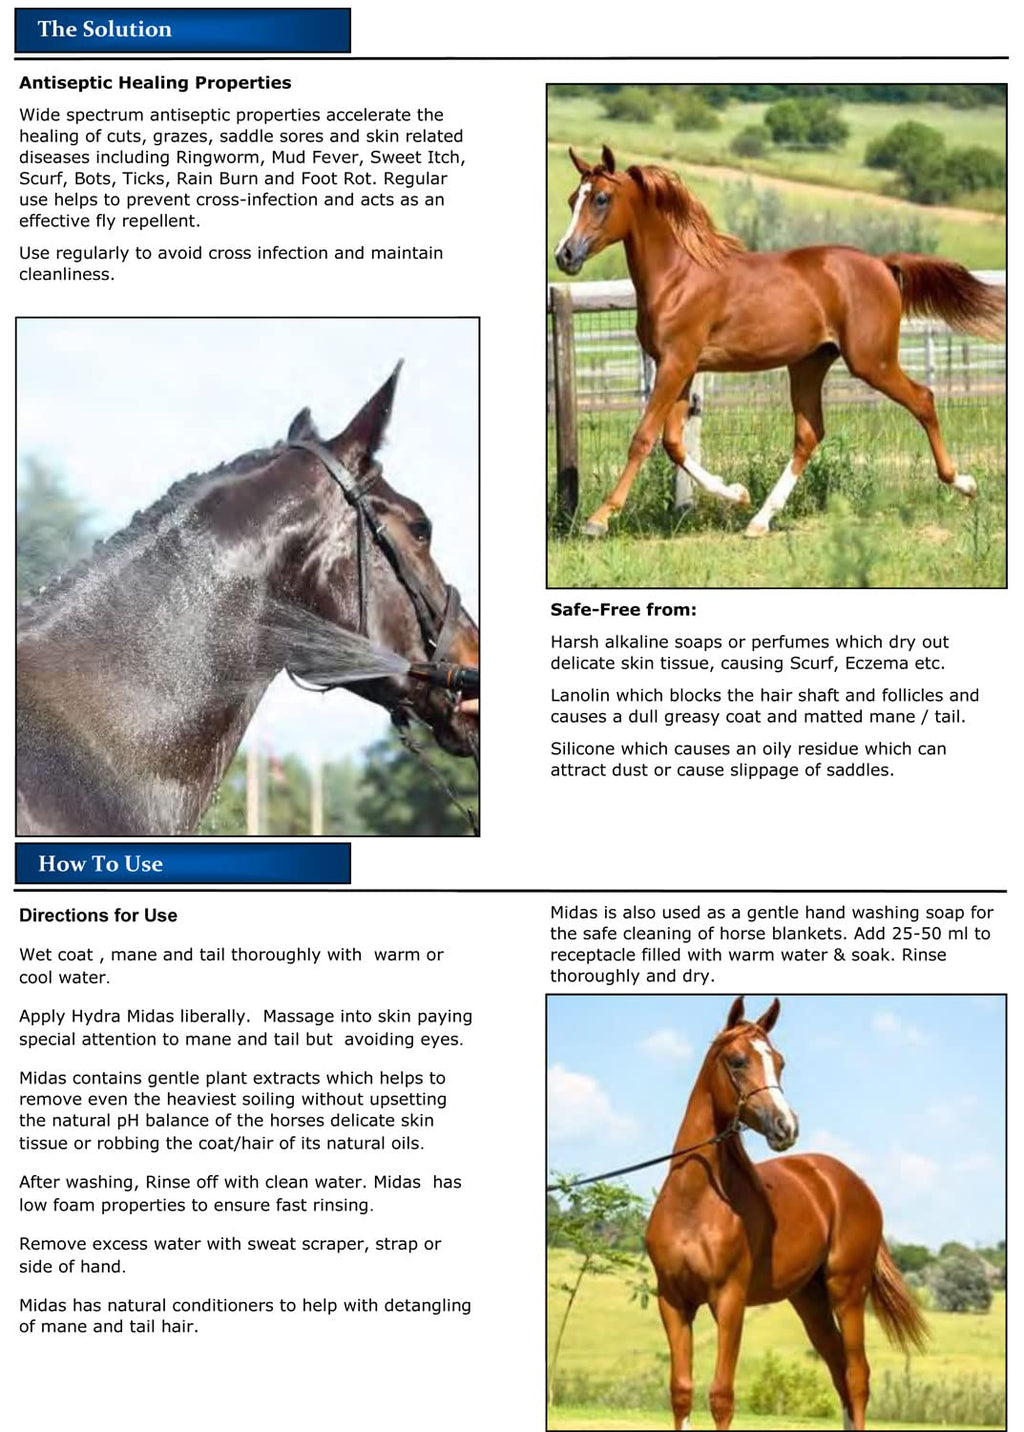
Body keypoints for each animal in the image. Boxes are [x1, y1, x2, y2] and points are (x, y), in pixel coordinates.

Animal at [555, 146, 1005, 539]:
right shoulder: (682, 367)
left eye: (601, 199)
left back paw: (964, 483)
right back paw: (758, 520)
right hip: (810, 362)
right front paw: (736, 493)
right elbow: (674, 444)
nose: (565, 255)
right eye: (572, 199)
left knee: (923, 399)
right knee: (809, 435)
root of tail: (882, 265)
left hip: (871, 361)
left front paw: (598, 519)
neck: (679, 278)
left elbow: (644, 438)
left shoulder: (676, 363)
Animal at [645, 997, 926, 1431]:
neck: (693, 1204)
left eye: (779, 1062)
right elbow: (681, 1392)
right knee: (840, 1372)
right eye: (738, 1060)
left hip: (847, 1292)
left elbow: (721, 1396)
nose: (786, 1126)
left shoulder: (729, 1301)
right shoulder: (673, 1302)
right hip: (810, 1300)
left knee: (857, 1376)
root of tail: (855, 1184)